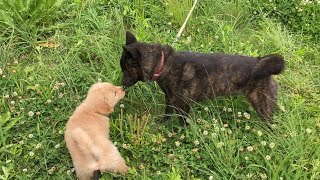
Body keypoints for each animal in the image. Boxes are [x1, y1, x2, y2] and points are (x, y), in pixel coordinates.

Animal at [120, 31, 284, 126]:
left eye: (125, 70)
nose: (120, 84)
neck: (164, 63)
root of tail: (261, 61)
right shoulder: (169, 99)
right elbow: (167, 113)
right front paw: (162, 123)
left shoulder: (184, 105)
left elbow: (183, 122)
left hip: (264, 108)